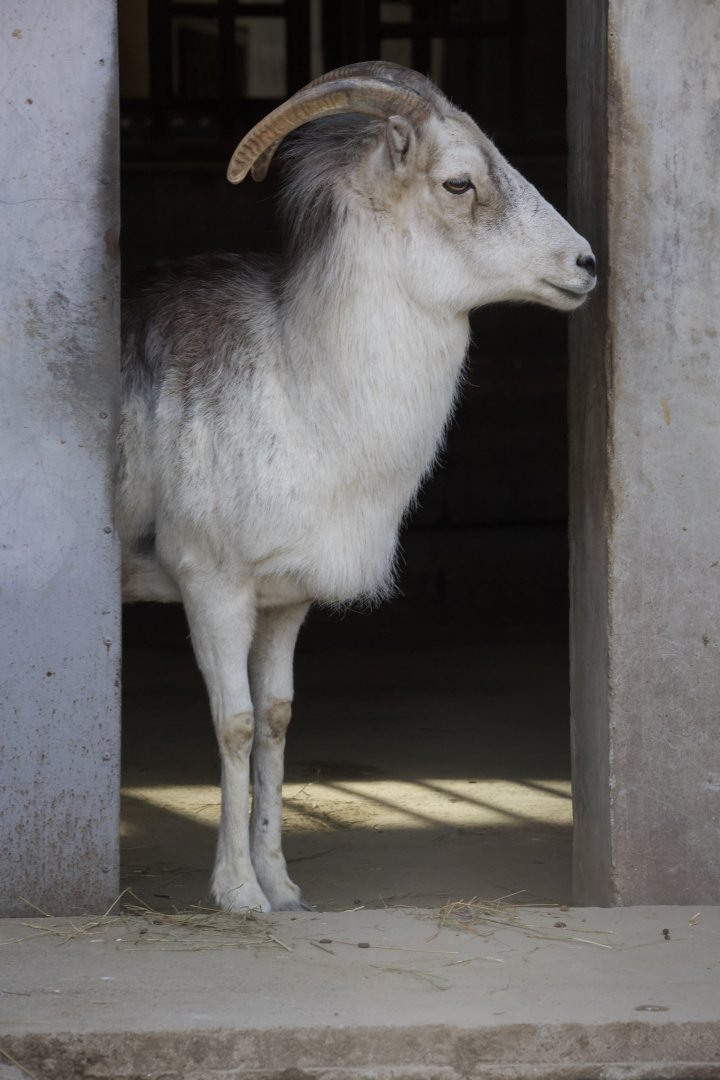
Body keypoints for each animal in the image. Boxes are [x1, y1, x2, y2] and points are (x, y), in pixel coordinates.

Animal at [118, 62, 596, 913]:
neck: (300, 389)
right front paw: (238, 896)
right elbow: (235, 724)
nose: (585, 266)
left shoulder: (282, 603)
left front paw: (282, 888)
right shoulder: (211, 586)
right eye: (458, 182)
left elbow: (275, 722)